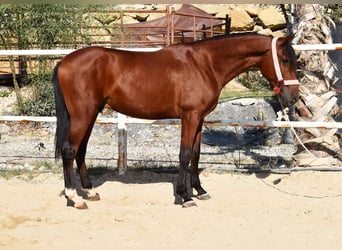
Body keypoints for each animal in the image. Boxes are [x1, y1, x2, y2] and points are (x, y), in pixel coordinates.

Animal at [51, 33, 300, 209]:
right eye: (285, 60)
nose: (294, 97)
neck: (205, 64)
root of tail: (64, 62)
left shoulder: (199, 118)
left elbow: (196, 155)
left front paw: (200, 191)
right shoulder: (189, 117)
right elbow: (185, 154)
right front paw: (185, 197)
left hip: (91, 114)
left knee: (81, 150)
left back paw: (90, 191)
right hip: (83, 115)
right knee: (69, 149)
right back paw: (75, 197)